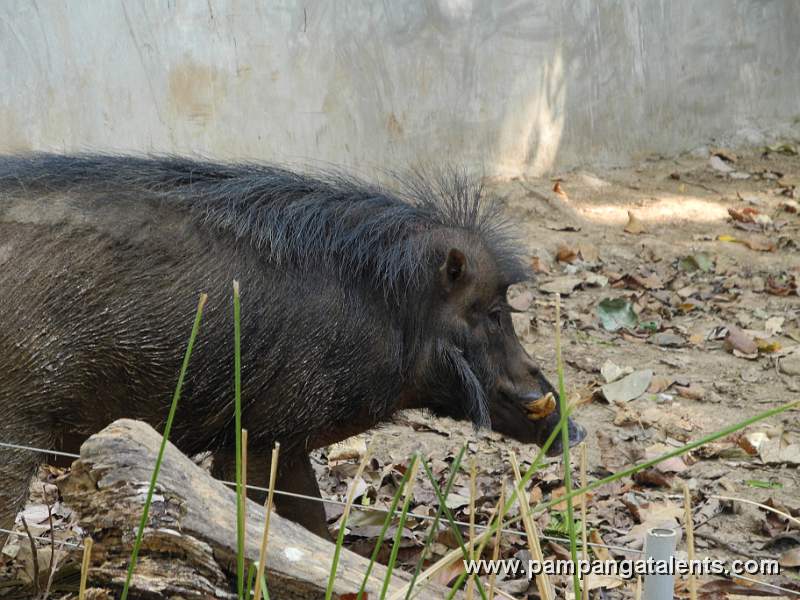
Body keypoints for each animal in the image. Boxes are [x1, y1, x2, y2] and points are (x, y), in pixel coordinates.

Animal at [0, 154, 584, 541]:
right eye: (493, 313)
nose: (572, 433)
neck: (395, 312)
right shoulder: (260, 436)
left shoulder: (278, 438)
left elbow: (307, 520)